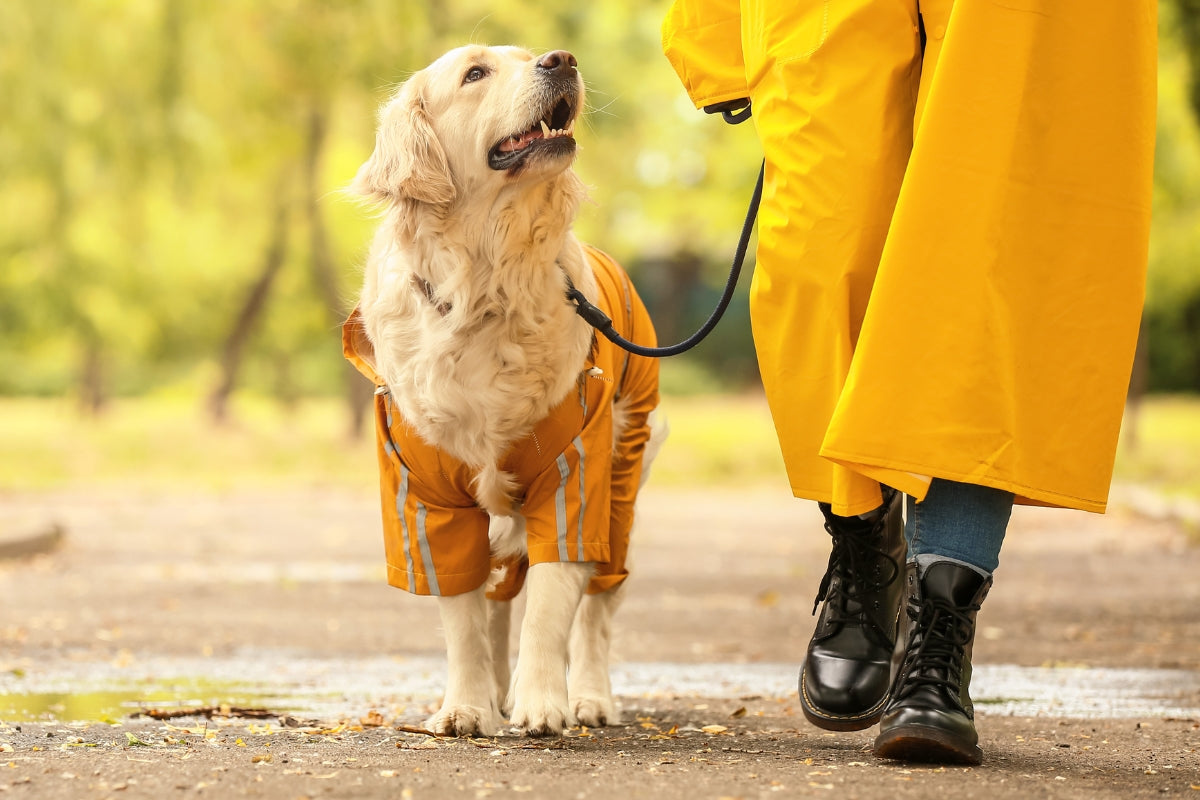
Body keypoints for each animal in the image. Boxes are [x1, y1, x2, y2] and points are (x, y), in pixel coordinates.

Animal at [343, 45, 667, 738]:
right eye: (475, 74)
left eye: (528, 55)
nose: (562, 58)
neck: (484, 286)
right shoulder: (426, 495)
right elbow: (463, 620)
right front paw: (467, 707)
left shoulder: (574, 476)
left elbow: (550, 606)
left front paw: (542, 703)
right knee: (495, 601)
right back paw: (493, 691)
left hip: (623, 484)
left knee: (597, 608)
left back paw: (589, 697)